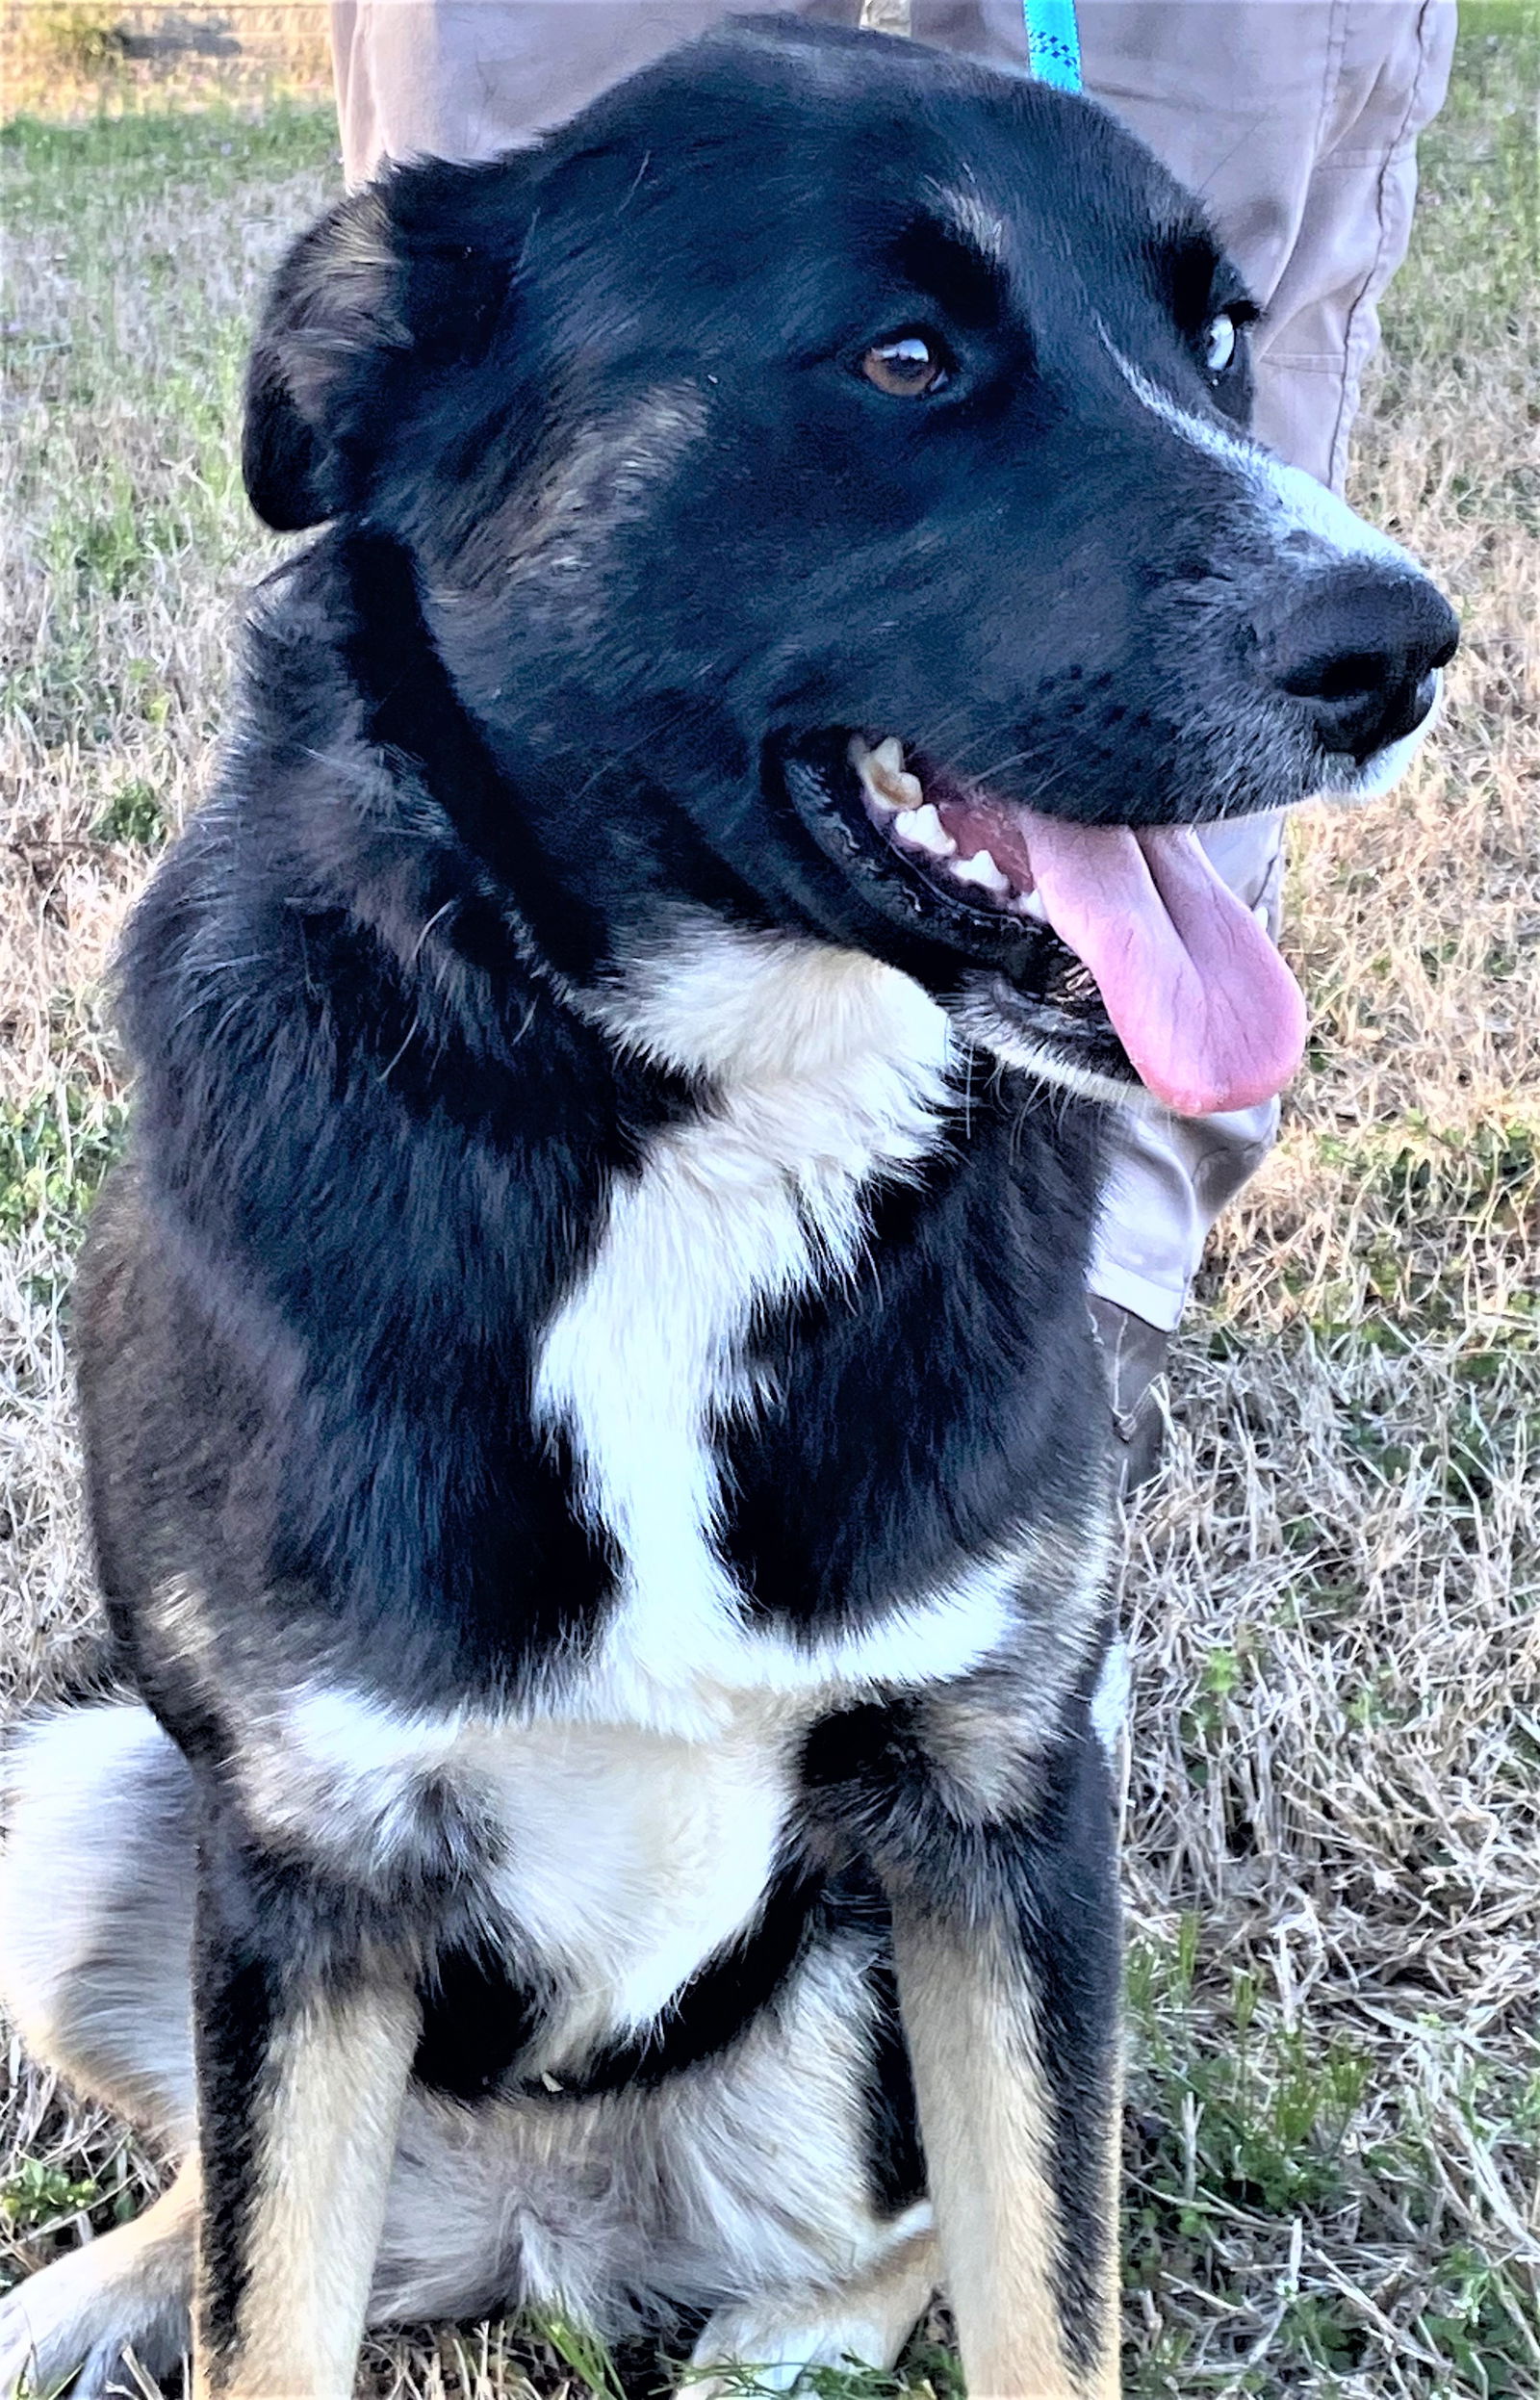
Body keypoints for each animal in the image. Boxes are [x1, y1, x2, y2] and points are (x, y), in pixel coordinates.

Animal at [0, 18, 1449, 2400]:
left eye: (1218, 338)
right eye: (902, 355)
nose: (1403, 646)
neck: (691, 1111)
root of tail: (534, 2238)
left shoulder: (1001, 1800)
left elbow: (1052, 2283)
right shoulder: (306, 1852)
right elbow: (264, 2304)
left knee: (911, 2226)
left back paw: (783, 2335)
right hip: (91, 1798)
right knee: (233, 2194)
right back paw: (93, 2287)